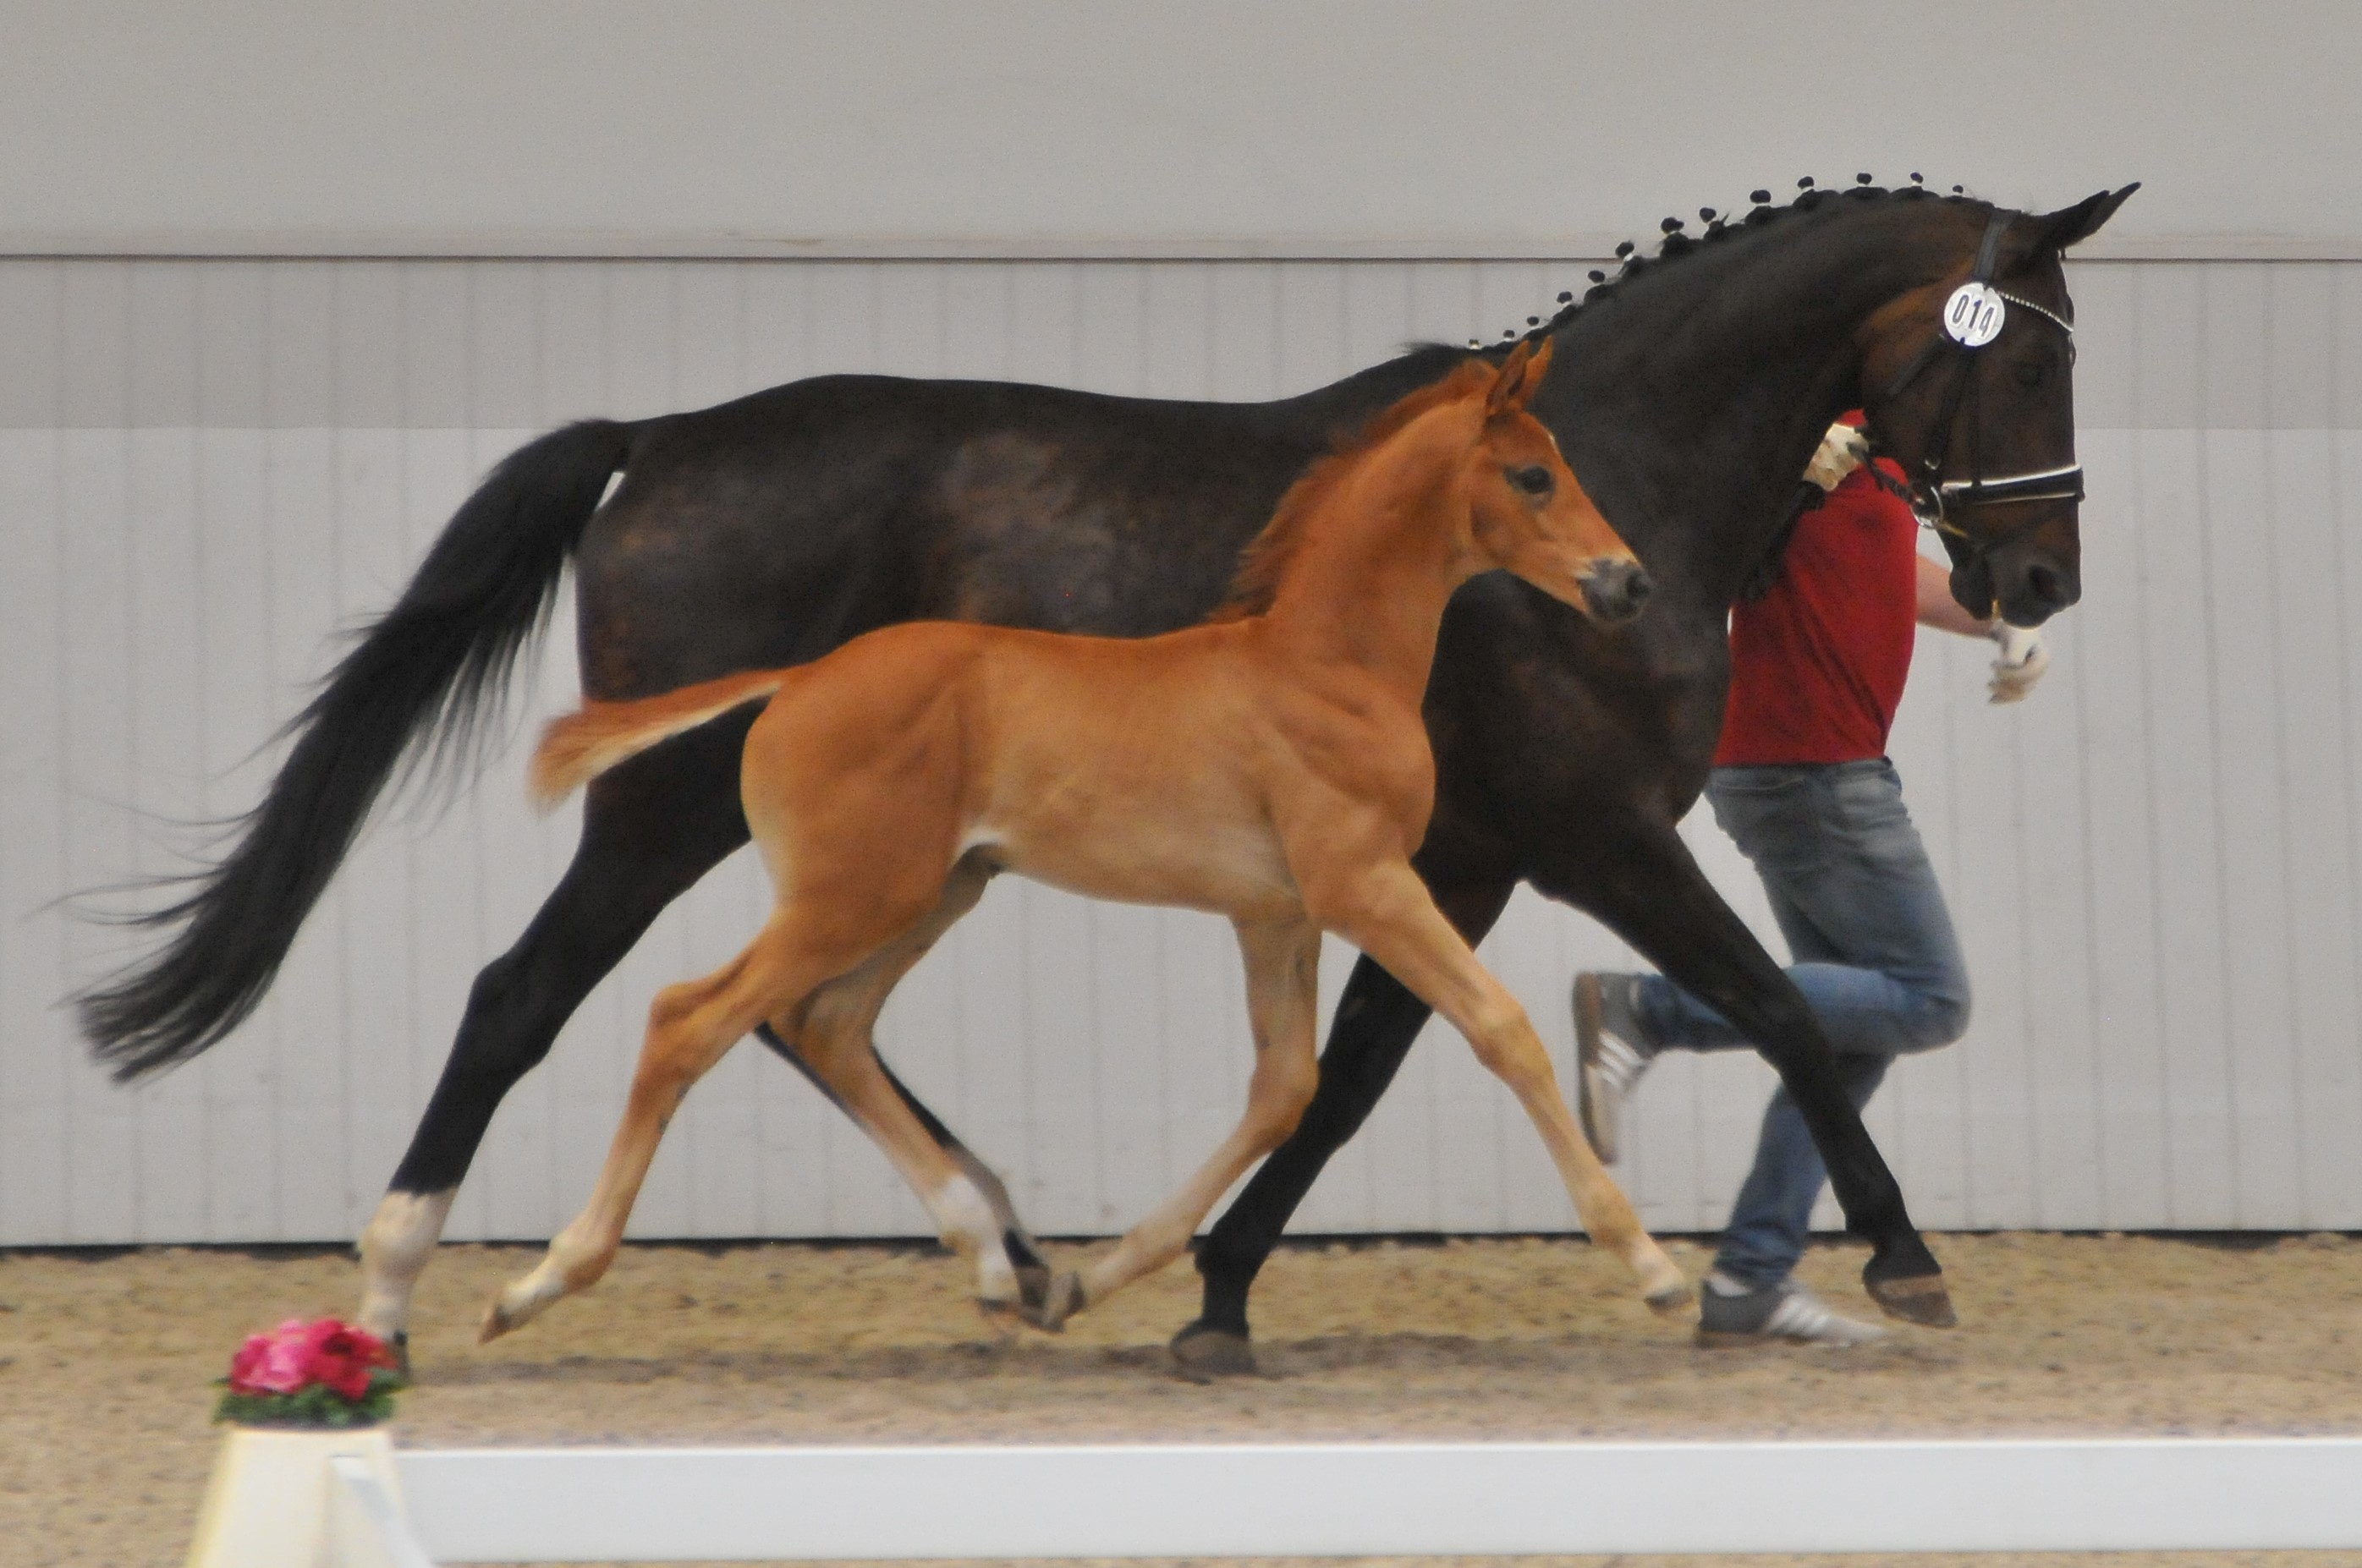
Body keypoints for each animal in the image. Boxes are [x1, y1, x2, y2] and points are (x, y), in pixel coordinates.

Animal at [488, 340, 1691, 1331]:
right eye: (1533, 475)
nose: (1629, 581)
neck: (1319, 666)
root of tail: (797, 680)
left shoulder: (1276, 915)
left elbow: (1282, 1091)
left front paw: (1091, 1279)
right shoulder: (1366, 885)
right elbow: (1501, 1030)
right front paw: (1651, 1267)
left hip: (935, 892)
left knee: (822, 1024)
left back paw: (995, 1261)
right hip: (852, 896)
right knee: (688, 1019)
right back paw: (536, 1284)